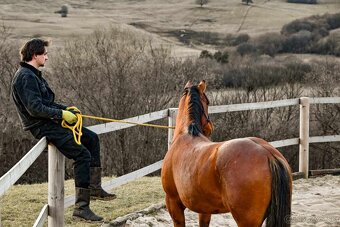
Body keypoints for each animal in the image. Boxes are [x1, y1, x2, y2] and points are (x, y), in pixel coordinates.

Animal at [161, 80, 290, 226]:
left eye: (207, 101)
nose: (210, 127)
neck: (186, 134)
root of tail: (268, 154)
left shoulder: (173, 203)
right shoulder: (205, 209)